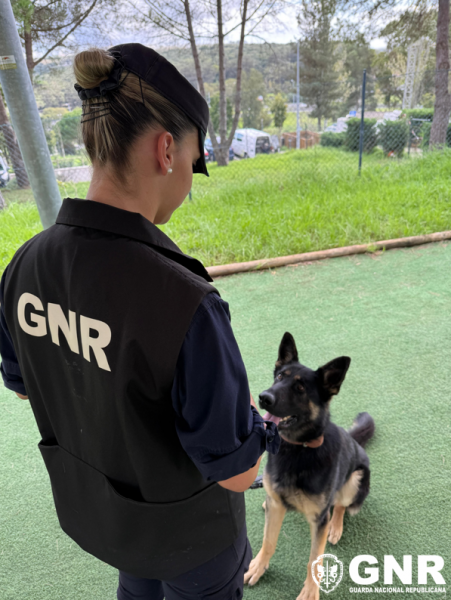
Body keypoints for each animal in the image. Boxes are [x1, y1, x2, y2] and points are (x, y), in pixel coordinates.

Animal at [244, 332, 375, 600]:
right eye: (279, 377)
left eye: (300, 388)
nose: (263, 397)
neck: (297, 450)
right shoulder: (277, 506)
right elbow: (268, 541)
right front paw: (259, 567)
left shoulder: (319, 520)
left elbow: (314, 559)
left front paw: (310, 591)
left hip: (354, 481)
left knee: (340, 505)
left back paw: (336, 525)